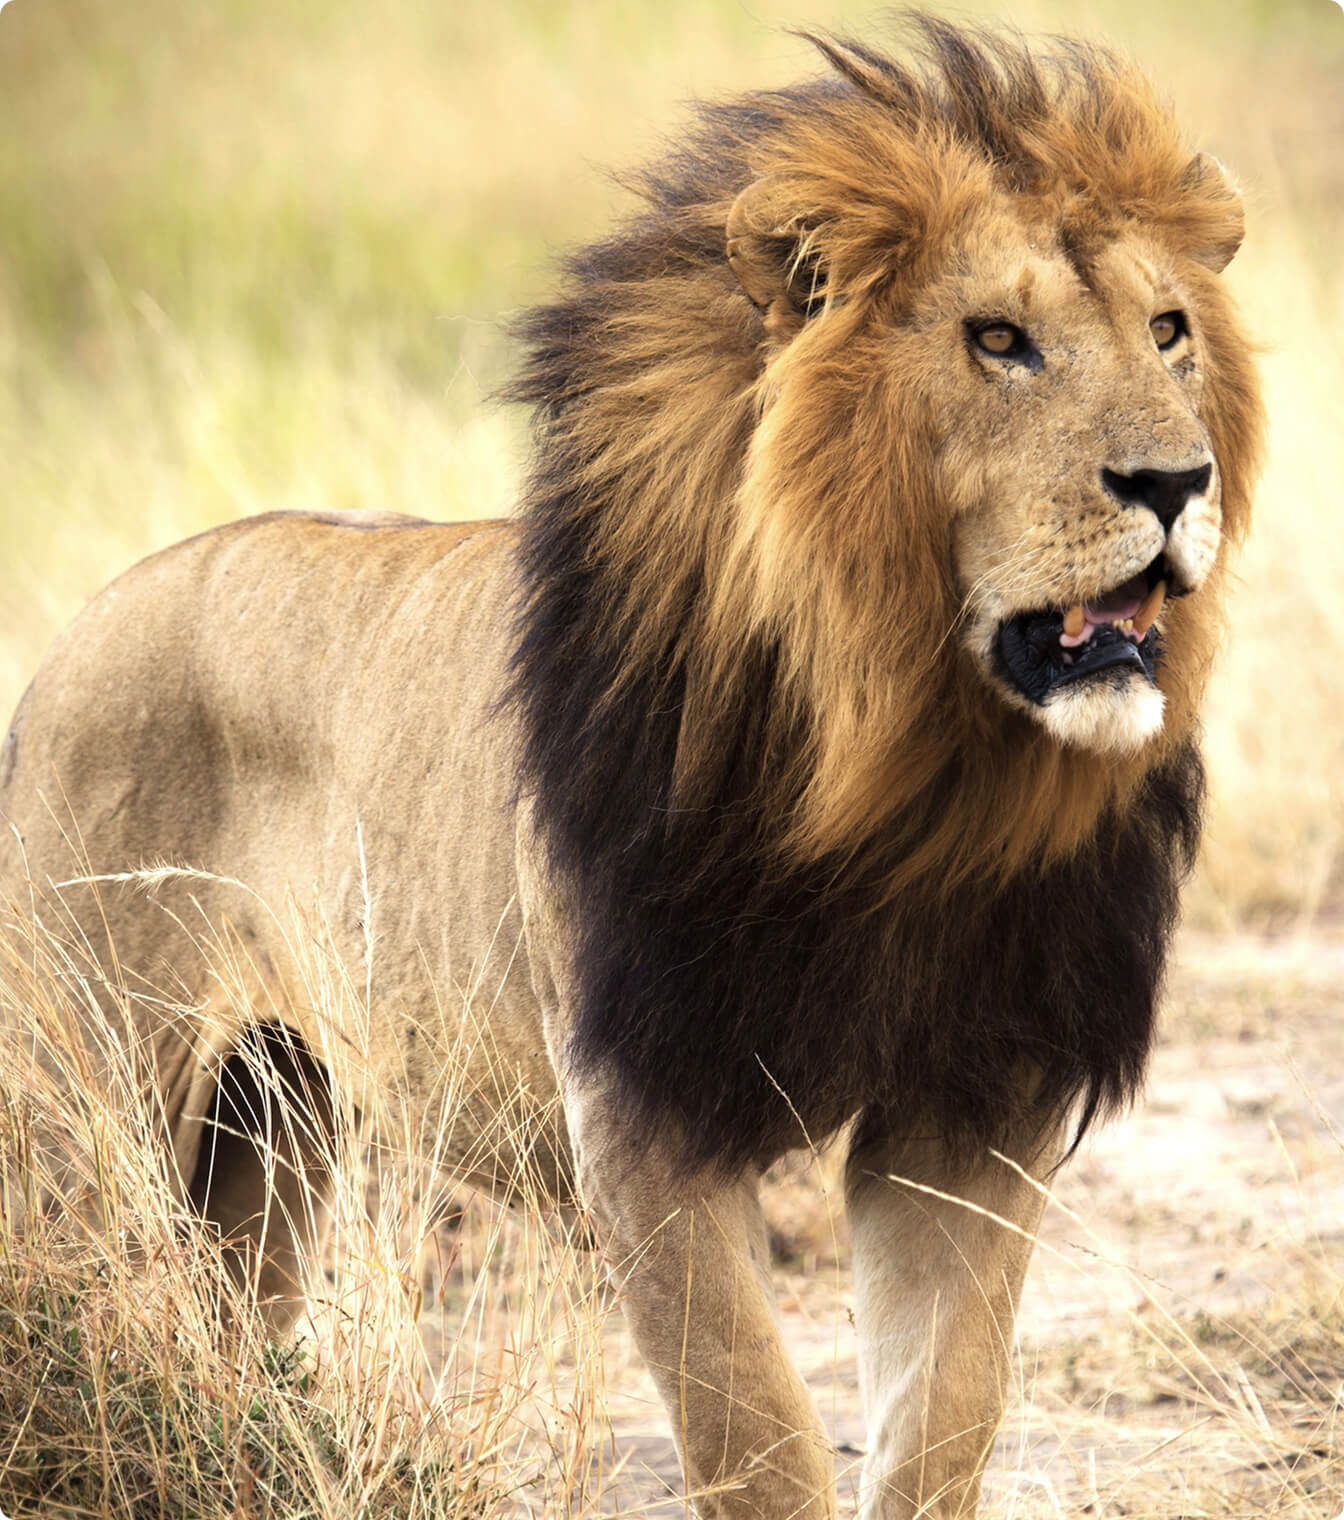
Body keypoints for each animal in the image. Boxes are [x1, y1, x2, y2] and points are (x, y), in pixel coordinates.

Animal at [0, 16, 1261, 1519]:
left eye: (1168, 331)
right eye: (998, 340)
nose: (1177, 482)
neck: (912, 778)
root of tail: (73, 638)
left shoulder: (974, 1108)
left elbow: (942, 1423)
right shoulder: (643, 1108)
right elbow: (758, 1435)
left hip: (272, 1128)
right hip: (94, 1112)